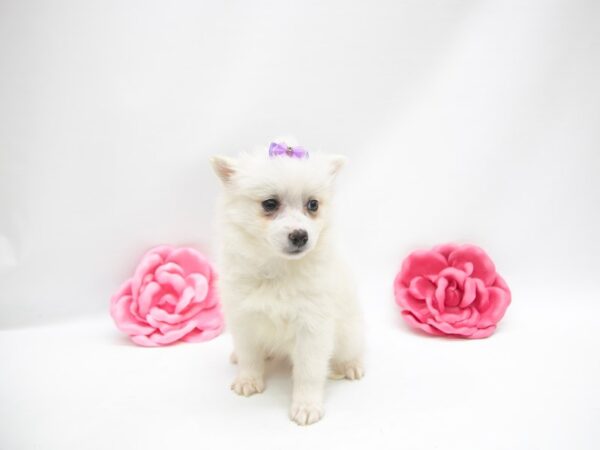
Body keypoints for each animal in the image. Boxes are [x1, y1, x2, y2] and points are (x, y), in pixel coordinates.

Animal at [209, 145, 364, 426]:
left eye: (313, 205)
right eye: (270, 204)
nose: (300, 236)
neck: (278, 268)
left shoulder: (312, 328)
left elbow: (308, 372)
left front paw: (306, 406)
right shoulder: (243, 319)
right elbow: (249, 355)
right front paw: (248, 380)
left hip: (350, 333)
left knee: (352, 350)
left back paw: (351, 366)